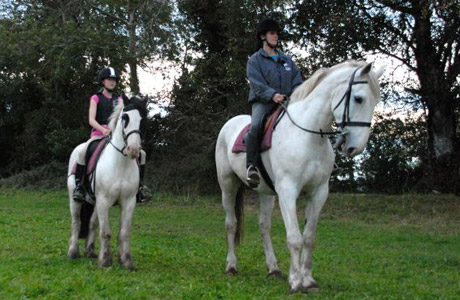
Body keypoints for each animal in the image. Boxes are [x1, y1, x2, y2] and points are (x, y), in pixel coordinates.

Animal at [66, 94, 147, 270]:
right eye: (125, 118)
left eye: (143, 119)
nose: (133, 150)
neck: (121, 163)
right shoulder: (104, 201)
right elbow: (106, 232)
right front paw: (105, 262)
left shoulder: (129, 202)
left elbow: (124, 232)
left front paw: (126, 261)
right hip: (76, 199)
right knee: (76, 223)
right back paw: (73, 252)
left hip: (94, 202)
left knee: (91, 223)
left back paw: (90, 251)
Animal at [216, 61, 384, 292]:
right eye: (359, 98)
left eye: (376, 102)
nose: (355, 148)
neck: (309, 136)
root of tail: (230, 123)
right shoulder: (288, 191)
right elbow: (294, 237)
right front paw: (295, 282)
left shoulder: (318, 193)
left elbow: (309, 237)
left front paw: (308, 280)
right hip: (228, 186)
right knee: (231, 224)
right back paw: (231, 267)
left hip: (265, 193)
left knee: (264, 226)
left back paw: (273, 269)